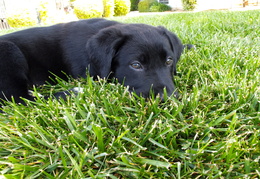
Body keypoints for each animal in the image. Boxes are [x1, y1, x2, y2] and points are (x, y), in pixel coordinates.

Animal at [0, 17, 185, 104]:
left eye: (169, 61)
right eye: (136, 65)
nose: (169, 98)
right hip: (9, 52)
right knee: (18, 99)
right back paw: (72, 92)